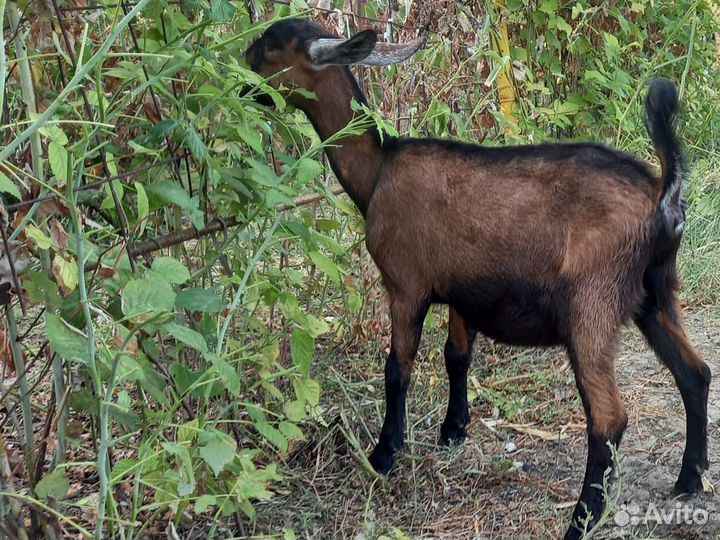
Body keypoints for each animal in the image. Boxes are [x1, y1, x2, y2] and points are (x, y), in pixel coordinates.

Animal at [245, 20, 710, 540]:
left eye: (269, 50)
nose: (242, 76)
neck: (380, 167)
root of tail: (661, 195)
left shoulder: (405, 285)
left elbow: (397, 370)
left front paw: (385, 454)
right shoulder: (461, 291)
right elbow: (457, 356)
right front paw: (454, 430)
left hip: (593, 305)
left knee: (608, 417)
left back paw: (581, 520)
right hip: (656, 293)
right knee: (695, 373)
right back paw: (689, 481)